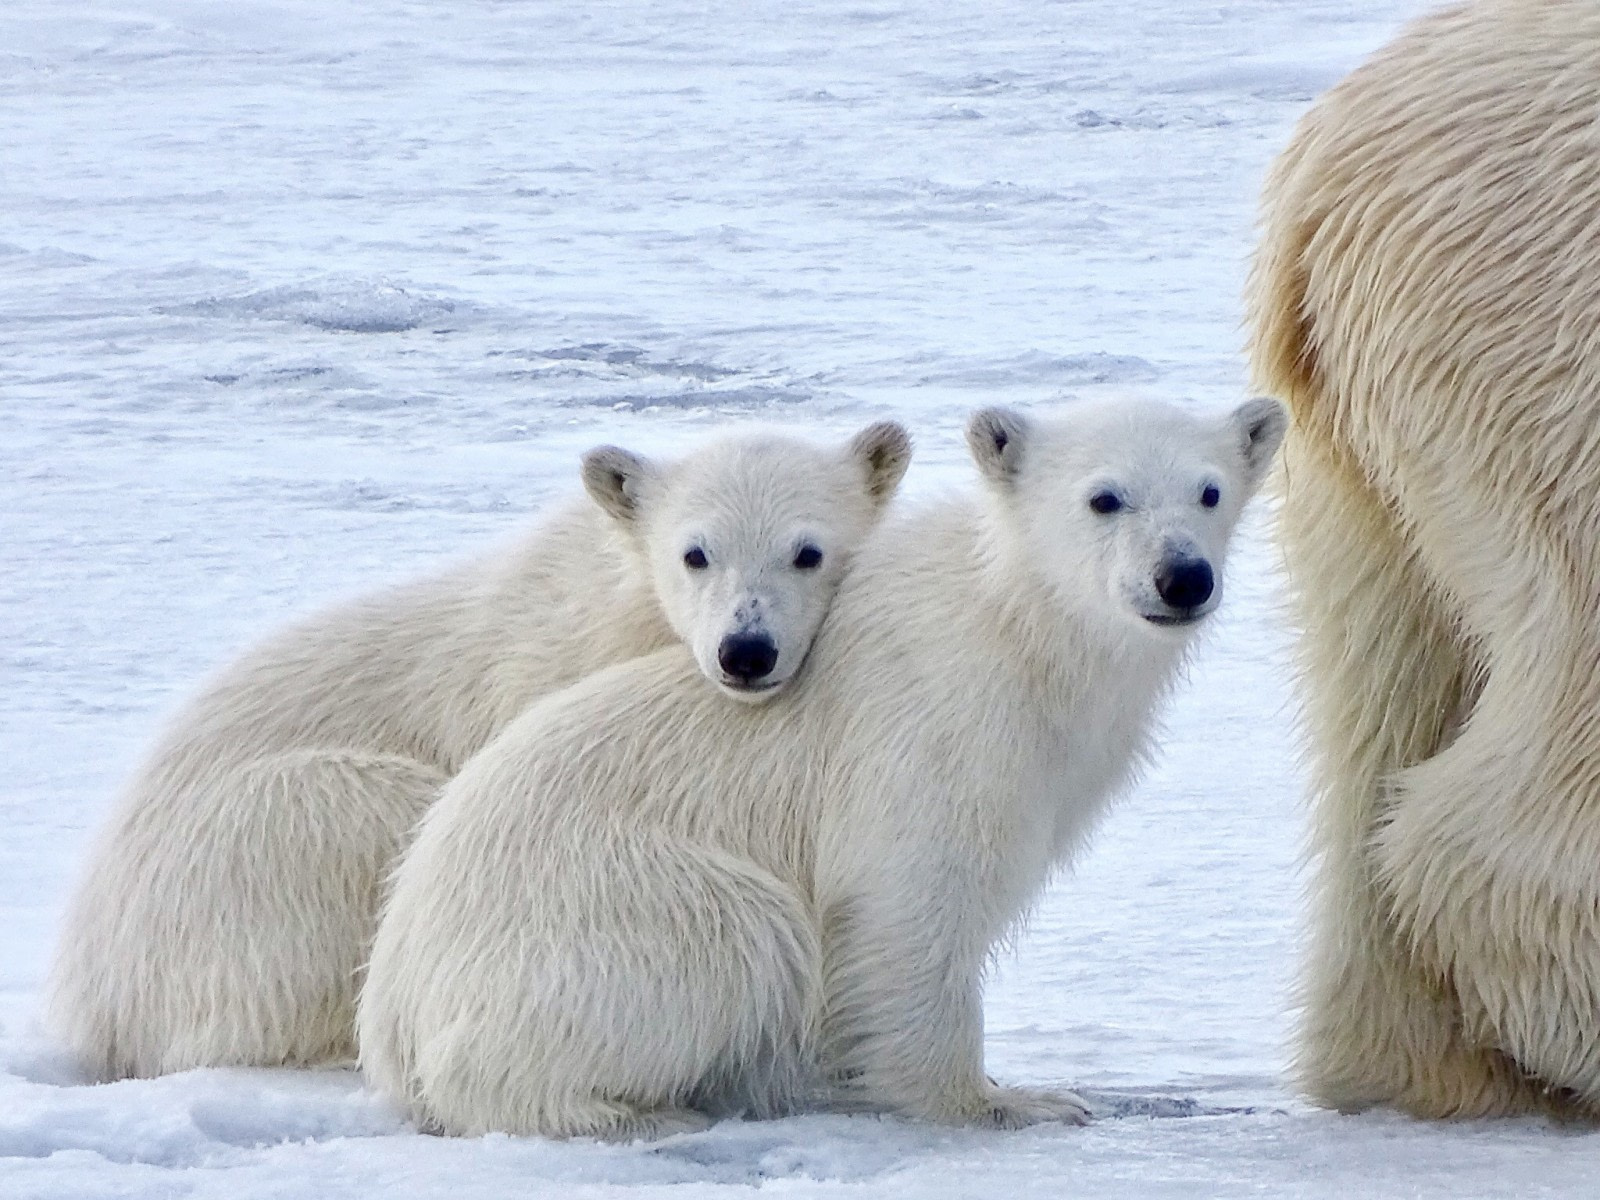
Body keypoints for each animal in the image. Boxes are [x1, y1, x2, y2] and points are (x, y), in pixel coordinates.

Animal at [47, 420, 912, 1082]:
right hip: (249, 854)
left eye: (808, 551)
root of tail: (92, 995)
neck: (624, 606)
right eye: (695, 553)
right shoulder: (549, 677)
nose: (746, 650)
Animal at [355, 395, 1286, 1141]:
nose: (1182, 576)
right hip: (592, 915)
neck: (1020, 633)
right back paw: (638, 1110)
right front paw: (1008, 1100)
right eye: (1104, 497)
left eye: (1210, 491)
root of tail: (389, 1017)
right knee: (741, 929)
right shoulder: (930, 735)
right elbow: (911, 907)